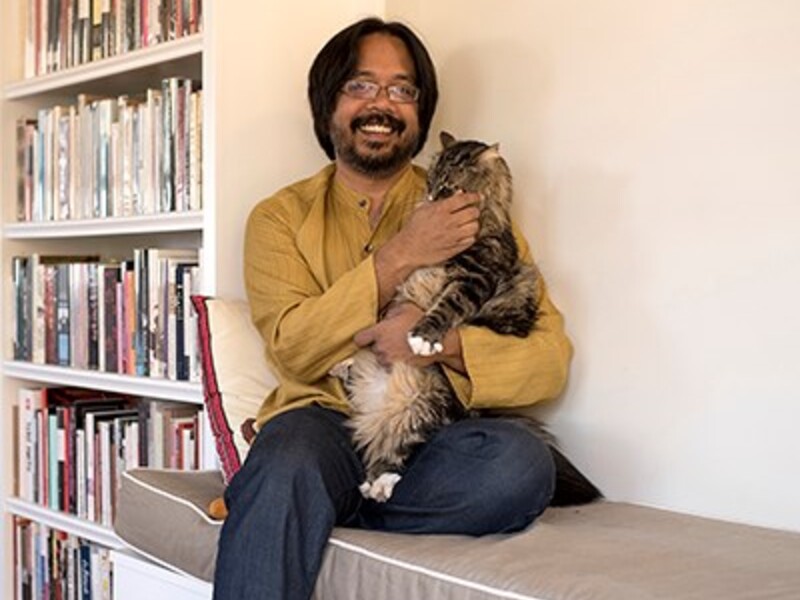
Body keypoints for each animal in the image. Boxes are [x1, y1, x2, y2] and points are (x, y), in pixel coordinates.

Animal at [336, 131, 556, 502]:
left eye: (449, 186)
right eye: (431, 181)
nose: (430, 197)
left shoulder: (474, 279)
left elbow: (445, 307)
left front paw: (422, 338)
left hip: (425, 402)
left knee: (399, 449)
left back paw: (379, 484)